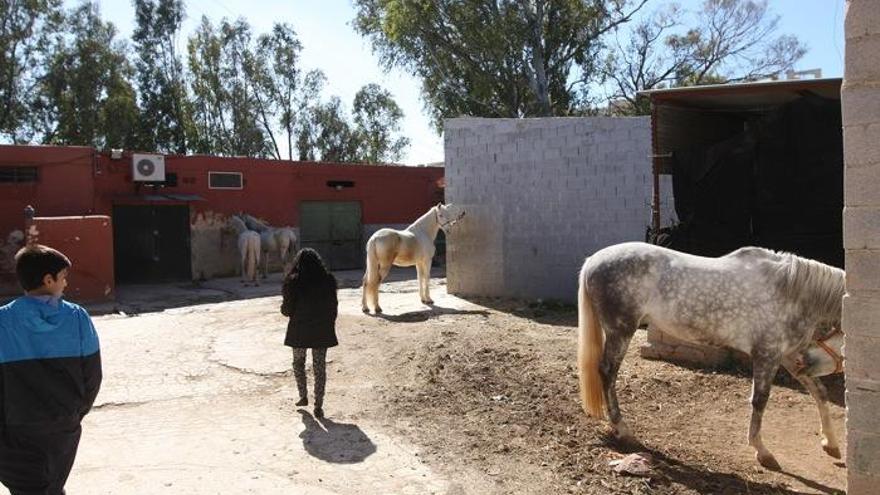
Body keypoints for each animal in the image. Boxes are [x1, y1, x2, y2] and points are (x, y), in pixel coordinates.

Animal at [576, 242, 848, 470]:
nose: (809, 361)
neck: (791, 293)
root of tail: (593, 261)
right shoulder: (767, 355)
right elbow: (760, 401)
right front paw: (762, 451)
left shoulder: (788, 356)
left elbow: (819, 392)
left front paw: (831, 444)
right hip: (621, 330)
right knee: (608, 373)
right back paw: (623, 429)